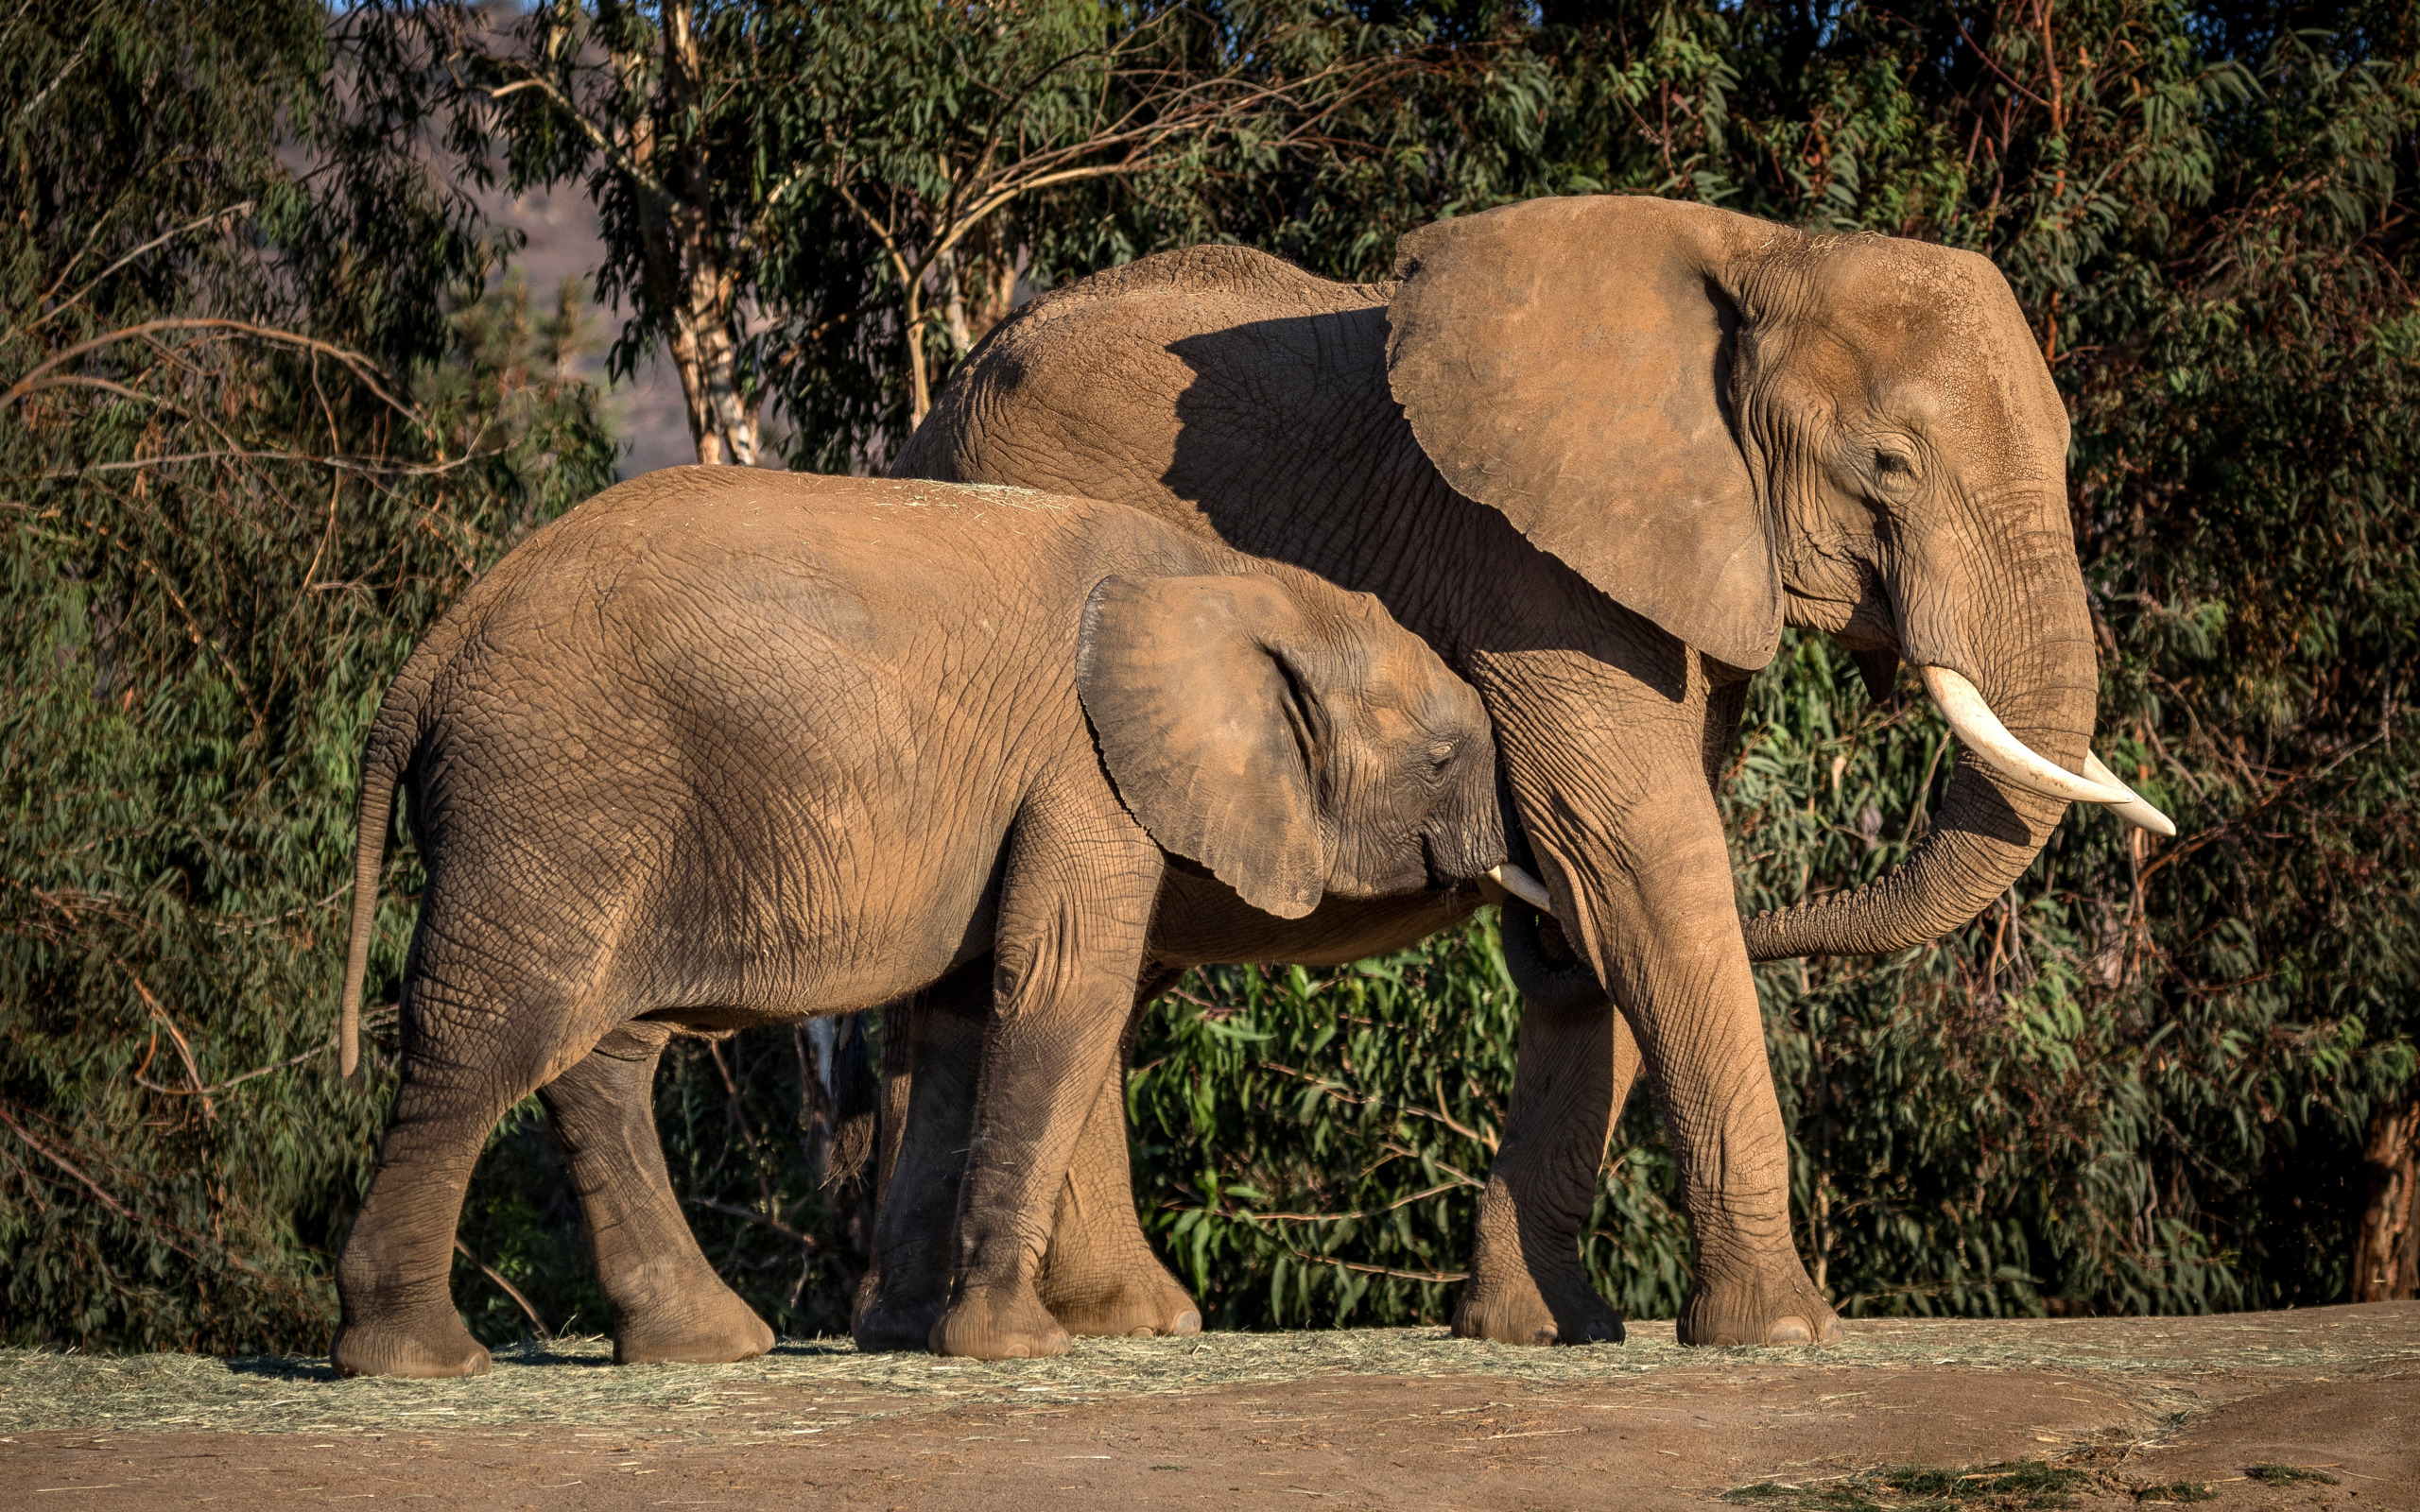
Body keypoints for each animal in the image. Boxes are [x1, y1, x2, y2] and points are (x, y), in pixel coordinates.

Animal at [331, 467, 1500, 1374]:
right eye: (1443, 759)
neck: (1234, 579)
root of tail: (428, 657)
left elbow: (962, 1017)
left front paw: (904, 1338)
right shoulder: (1084, 770)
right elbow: (1064, 985)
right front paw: (1017, 1348)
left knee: (597, 1053)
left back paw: (703, 1345)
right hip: (549, 798)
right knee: (486, 1041)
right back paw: (418, 1361)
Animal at [895, 191, 2178, 1345]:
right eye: (1889, 465)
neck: (1759, 250)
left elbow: (1608, 896)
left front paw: (1543, 1330)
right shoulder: (1529, 563)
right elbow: (1638, 855)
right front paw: (1781, 1332)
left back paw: (1105, 1318)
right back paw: (1103, 1320)